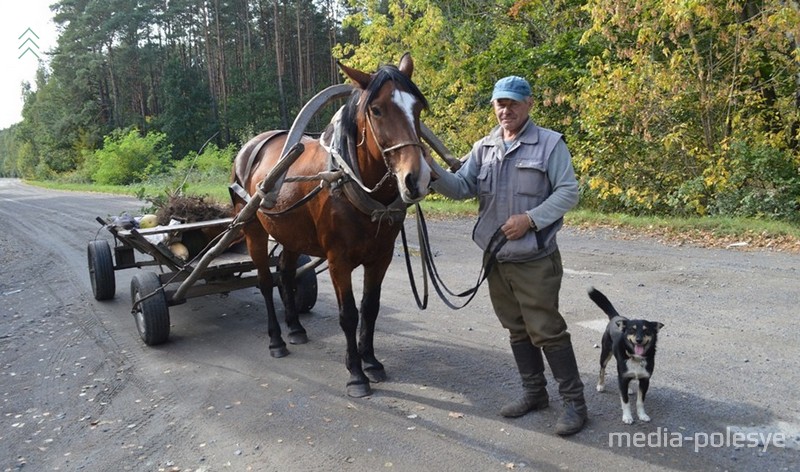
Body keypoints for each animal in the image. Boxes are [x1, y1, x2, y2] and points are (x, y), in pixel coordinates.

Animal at [228, 53, 434, 396]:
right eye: (377, 110)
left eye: (417, 107)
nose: (416, 179)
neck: (348, 181)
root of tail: (251, 147)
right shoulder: (339, 260)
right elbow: (348, 314)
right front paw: (356, 374)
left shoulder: (381, 256)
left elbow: (370, 307)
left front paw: (371, 361)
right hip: (253, 230)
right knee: (266, 282)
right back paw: (276, 340)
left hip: (291, 234)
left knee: (285, 272)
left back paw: (295, 327)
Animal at [588, 288, 664, 424]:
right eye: (632, 330)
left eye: (646, 331)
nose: (639, 340)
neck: (636, 358)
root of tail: (616, 317)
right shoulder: (623, 378)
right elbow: (625, 401)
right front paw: (627, 417)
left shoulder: (645, 380)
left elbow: (640, 401)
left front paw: (642, 415)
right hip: (605, 354)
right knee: (602, 369)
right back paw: (600, 385)